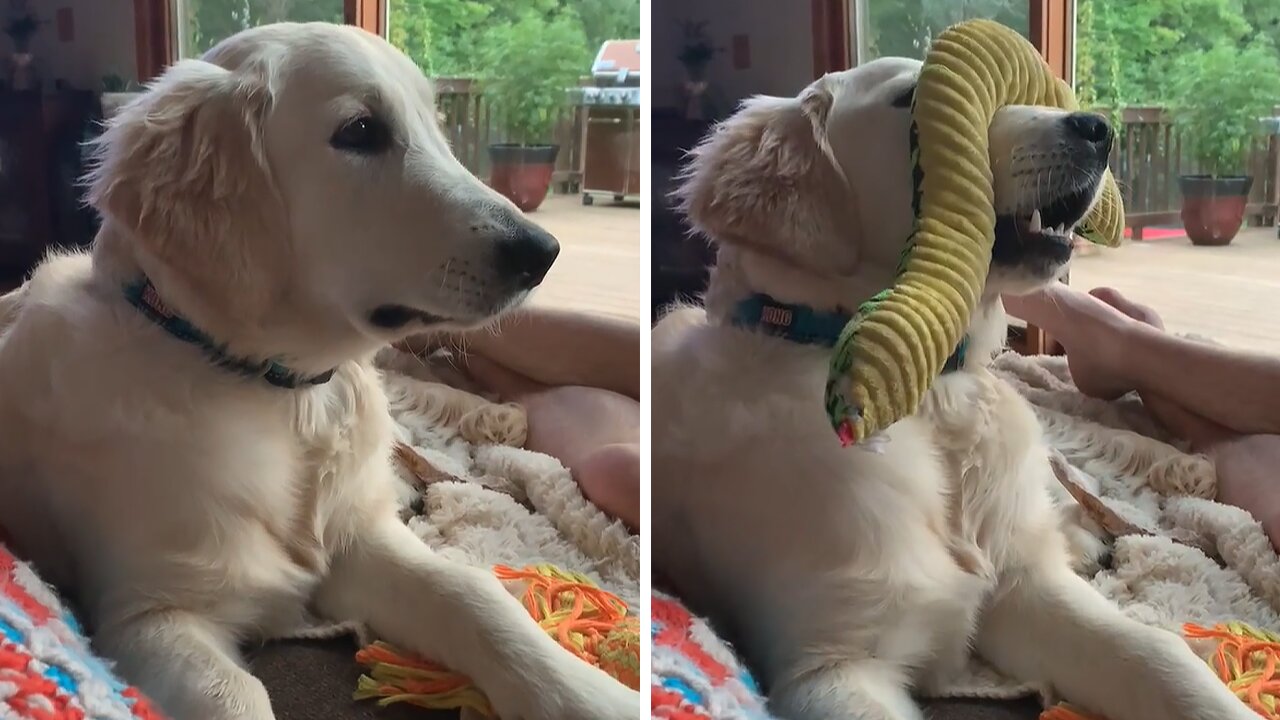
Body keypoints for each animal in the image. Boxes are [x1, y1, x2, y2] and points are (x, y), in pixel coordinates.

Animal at [0, 20, 640, 717]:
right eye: (359, 131)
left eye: (436, 128)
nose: (541, 253)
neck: (279, 396)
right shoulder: (148, 614)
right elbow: (238, 694)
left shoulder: (361, 540)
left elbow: (473, 596)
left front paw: (590, 692)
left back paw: (494, 427)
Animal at [655, 58, 1254, 717]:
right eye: (912, 97)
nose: (1098, 129)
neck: (931, 398)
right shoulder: (831, 664)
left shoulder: (1025, 589)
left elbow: (1157, 657)